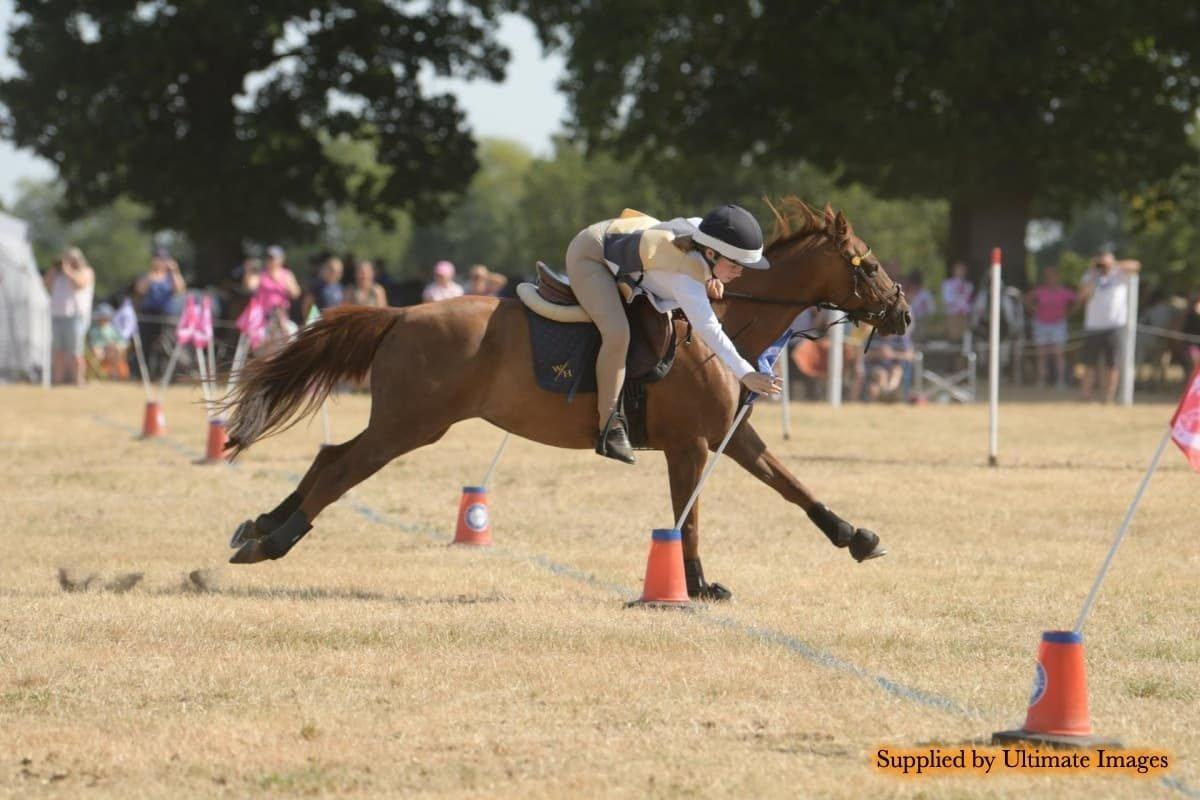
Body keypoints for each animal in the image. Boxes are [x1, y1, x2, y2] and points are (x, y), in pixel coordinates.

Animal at [221, 200, 911, 601]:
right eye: (869, 264)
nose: (903, 314)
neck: (723, 325)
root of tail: (401, 313)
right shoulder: (689, 445)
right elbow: (687, 517)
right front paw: (694, 585)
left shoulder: (729, 435)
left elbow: (790, 482)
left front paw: (856, 536)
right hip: (411, 424)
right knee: (341, 466)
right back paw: (271, 542)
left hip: (403, 421)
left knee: (329, 455)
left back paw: (261, 525)